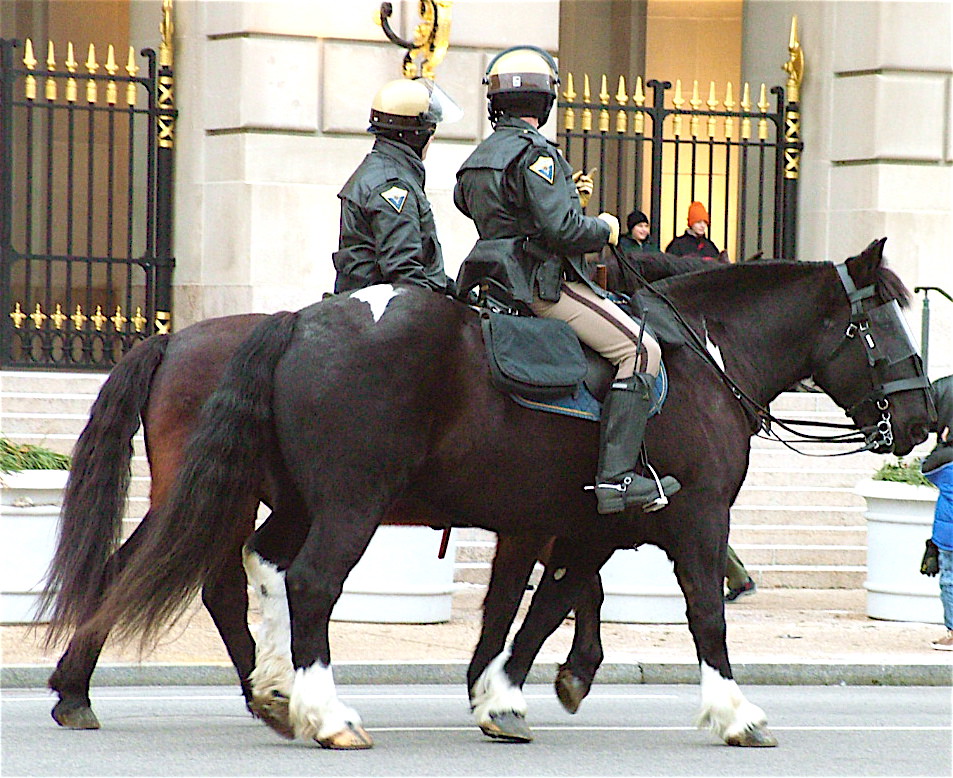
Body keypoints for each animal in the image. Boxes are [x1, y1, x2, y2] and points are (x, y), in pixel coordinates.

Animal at [69, 239, 933, 749]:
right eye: (885, 324)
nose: (925, 416)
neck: (704, 356)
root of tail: (291, 323)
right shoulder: (694, 515)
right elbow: (698, 612)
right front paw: (734, 710)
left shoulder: (579, 523)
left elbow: (541, 603)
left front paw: (502, 694)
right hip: (344, 504)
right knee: (296, 582)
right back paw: (324, 712)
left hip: (292, 503)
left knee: (262, 569)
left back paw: (277, 693)